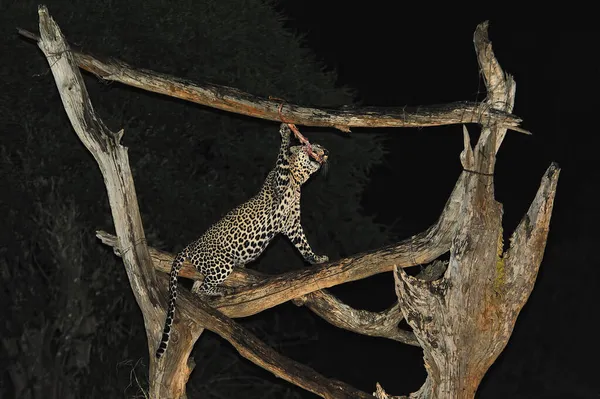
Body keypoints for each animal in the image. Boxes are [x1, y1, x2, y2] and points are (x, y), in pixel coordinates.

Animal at [156, 122, 328, 360]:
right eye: (314, 145)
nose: (325, 152)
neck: (298, 179)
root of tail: (191, 245)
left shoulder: (292, 224)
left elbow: (303, 245)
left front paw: (316, 259)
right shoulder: (281, 182)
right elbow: (282, 156)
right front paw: (285, 133)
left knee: (198, 287)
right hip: (222, 265)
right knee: (203, 287)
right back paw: (221, 291)